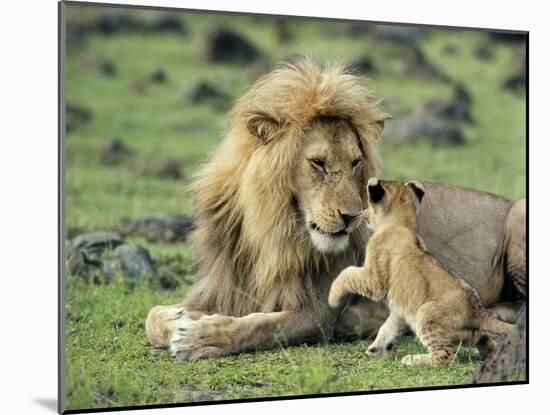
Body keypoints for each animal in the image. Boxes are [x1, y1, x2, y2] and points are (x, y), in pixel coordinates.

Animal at [146, 57, 528, 360]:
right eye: (317, 163)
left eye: (356, 162)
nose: (353, 216)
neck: (269, 230)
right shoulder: (222, 286)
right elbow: (152, 316)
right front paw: (179, 318)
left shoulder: (318, 313)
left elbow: (257, 327)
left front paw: (201, 338)